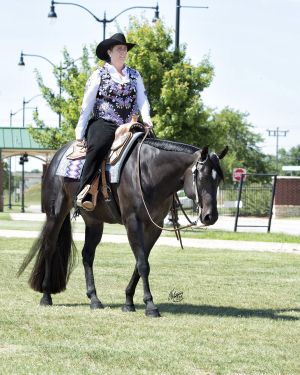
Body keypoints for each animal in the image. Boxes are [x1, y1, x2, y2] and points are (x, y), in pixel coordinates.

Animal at [18, 138, 227, 318]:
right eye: (202, 177)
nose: (211, 216)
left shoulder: (154, 227)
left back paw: (94, 299)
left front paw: (128, 302)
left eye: (218, 180)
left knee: (87, 255)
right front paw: (150, 306)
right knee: (49, 248)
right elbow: (143, 264)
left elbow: (140, 263)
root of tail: (56, 156)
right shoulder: (133, 222)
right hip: (55, 214)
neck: (149, 172)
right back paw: (46, 295)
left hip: (93, 221)